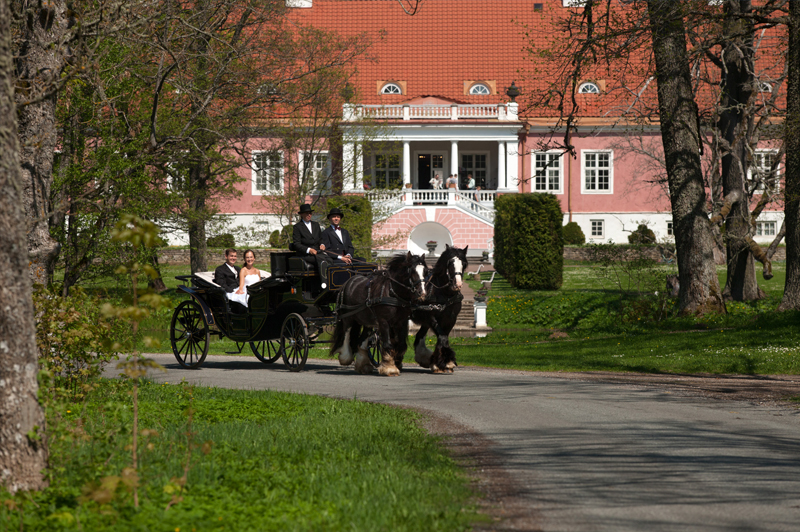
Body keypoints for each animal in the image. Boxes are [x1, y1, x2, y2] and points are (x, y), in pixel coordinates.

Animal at [412, 245, 468, 374]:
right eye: (450, 263)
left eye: (464, 264)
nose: (458, 284)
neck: (445, 293)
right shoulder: (430, 315)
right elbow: (442, 336)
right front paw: (446, 362)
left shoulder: (450, 318)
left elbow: (443, 336)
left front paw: (438, 363)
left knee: (419, 335)